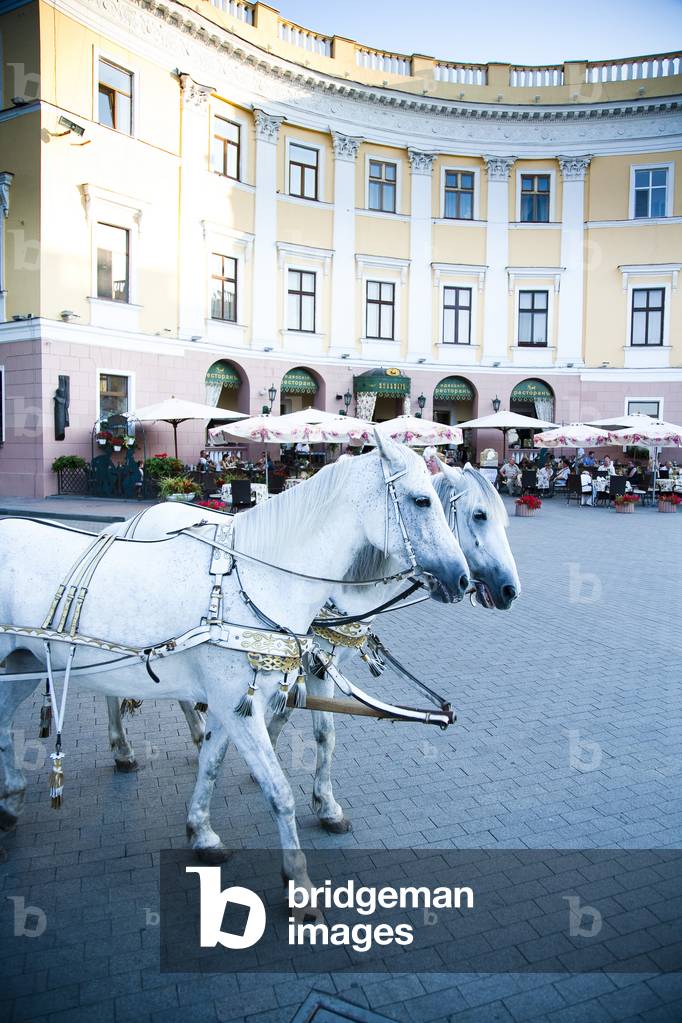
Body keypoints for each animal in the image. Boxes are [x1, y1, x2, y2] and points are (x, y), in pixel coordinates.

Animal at [0, 436, 470, 888]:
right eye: (421, 501)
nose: (464, 579)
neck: (253, 584)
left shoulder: (233, 705)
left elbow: (212, 763)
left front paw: (202, 833)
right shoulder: (238, 706)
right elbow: (278, 789)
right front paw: (298, 881)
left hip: (21, 665)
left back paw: (16, 796)